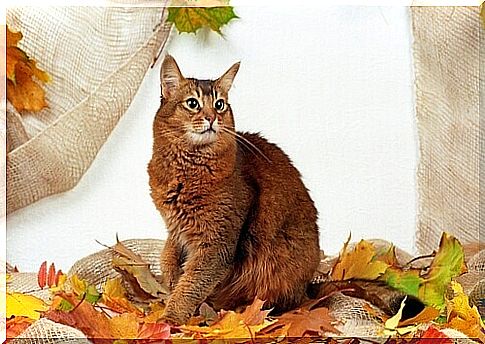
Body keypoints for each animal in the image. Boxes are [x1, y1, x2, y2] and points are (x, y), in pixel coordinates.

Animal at [147, 54, 322, 326]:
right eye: (192, 103)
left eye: (220, 105)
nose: (211, 118)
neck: (187, 167)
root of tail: (308, 288)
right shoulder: (175, 229)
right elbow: (169, 257)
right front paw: (171, 280)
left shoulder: (217, 244)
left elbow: (191, 285)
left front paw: (170, 319)